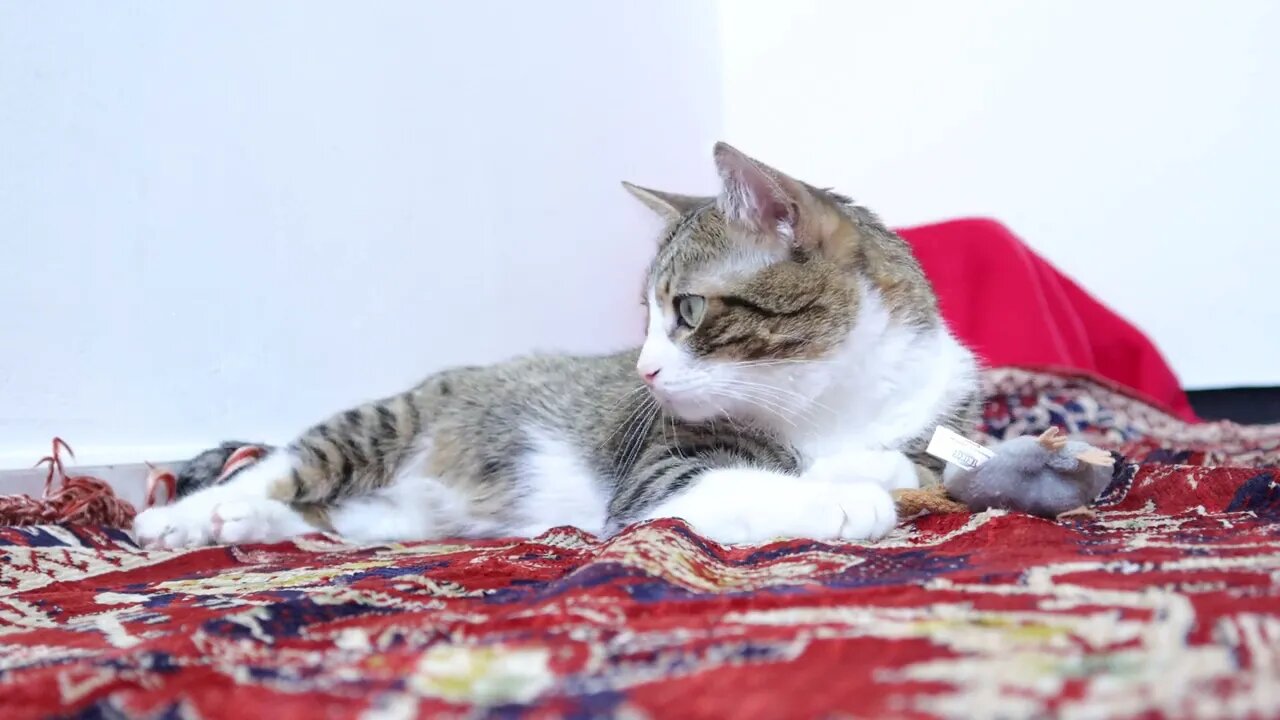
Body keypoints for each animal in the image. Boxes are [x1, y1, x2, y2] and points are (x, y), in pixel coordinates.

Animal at [135, 142, 977, 545]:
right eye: (644, 316)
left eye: (685, 309)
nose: (644, 371)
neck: (825, 399)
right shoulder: (658, 475)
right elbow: (733, 484)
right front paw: (843, 499)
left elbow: (901, 461)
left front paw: (870, 468)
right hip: (391, 419)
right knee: (285, 466)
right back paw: (192, 517)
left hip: (395, 519)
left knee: (329, 522)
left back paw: (249, 527)